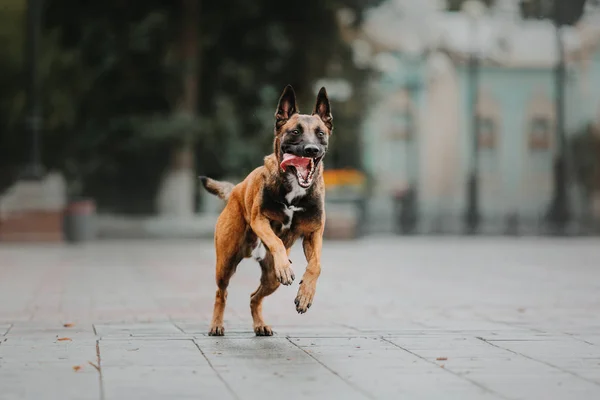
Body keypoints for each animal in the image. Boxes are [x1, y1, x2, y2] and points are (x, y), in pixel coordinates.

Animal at [200, 85, 332, 338]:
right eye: (295, 132)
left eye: (320, 133)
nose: (311, 149)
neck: (294, 187)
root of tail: (236, 189)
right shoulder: (260, 221)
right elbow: (276, 241)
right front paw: (285, 267)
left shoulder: (313, 234)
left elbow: (317, 265)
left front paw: (305, 295)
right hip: (226, 262)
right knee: (221, 293)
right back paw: (216, 324)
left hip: (271, 279)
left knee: (254, 297)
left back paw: (260, 323)